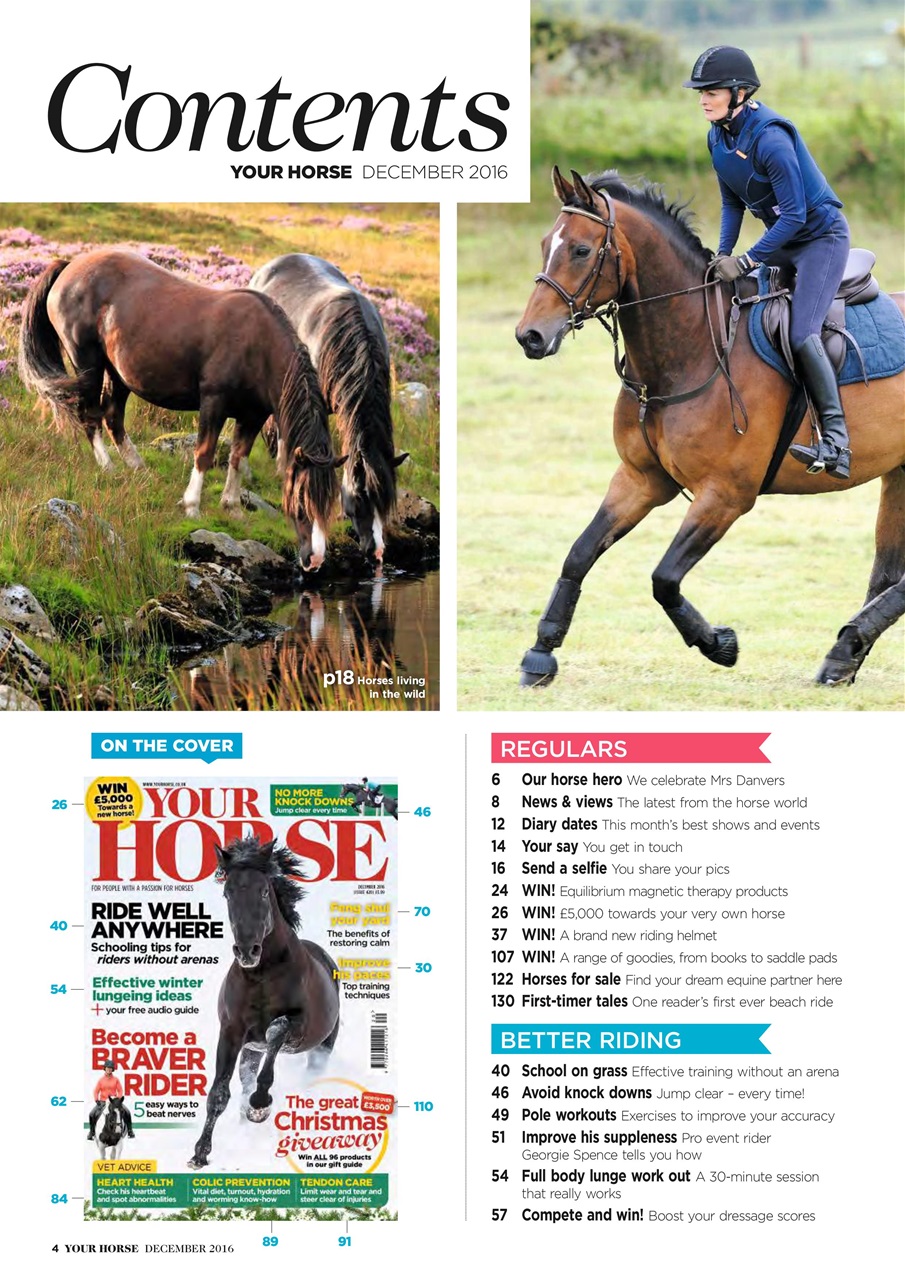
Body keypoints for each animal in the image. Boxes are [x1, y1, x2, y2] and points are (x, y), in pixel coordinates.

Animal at [18, 249, 345, 571]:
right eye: (302, 500)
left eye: (330, 503)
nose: (315, 560)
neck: (258, 346)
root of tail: (71, 265)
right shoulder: (213, 402)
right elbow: (204, 453)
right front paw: (191, 505)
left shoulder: (252, 416)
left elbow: (238, 459)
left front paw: (232, 506)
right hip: (87, 364)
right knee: (91, 417)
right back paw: (108, 467)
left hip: (118, 373)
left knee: (113, 417)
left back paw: (138, 468)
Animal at [188, 836, 340, 1170]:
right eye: (227, 892)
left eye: (263, 891)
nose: (248, 951)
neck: (260, 976)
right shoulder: (232, 1033)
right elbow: (219, 1093)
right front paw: (200, 1153)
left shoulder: (296, 1026)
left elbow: (275, 1032)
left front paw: (260, 1106)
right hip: (250, 1050)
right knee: (246, 1075)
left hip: (322, 1046)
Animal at [515, 168, 905, 688]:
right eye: (545, 245)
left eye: (580, 250)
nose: (530, 337)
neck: (690, 351)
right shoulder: (641, 479)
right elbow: (579, 553)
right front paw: (541, 652)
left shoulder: (725, 495)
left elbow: (663, 579)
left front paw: (718, 644)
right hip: (899, 474)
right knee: (889, 572)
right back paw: (844, 655)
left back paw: (848, 644)